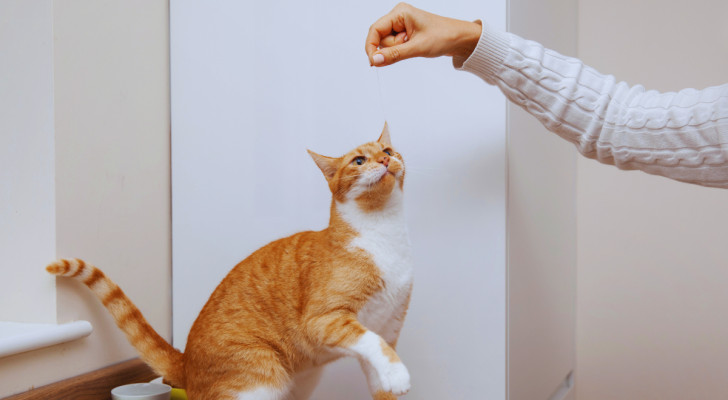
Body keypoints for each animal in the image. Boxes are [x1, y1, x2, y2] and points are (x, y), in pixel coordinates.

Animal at [45, 124, 412, 400]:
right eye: (359, 160)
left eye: (388, 151)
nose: (384, 159)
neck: (384, 233)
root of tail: (185, 364)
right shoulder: (325, 319)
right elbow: (372, 342)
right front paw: (399, 373)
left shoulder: (388, 325)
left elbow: (380, 364)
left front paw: (391, 379)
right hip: (262, 374)